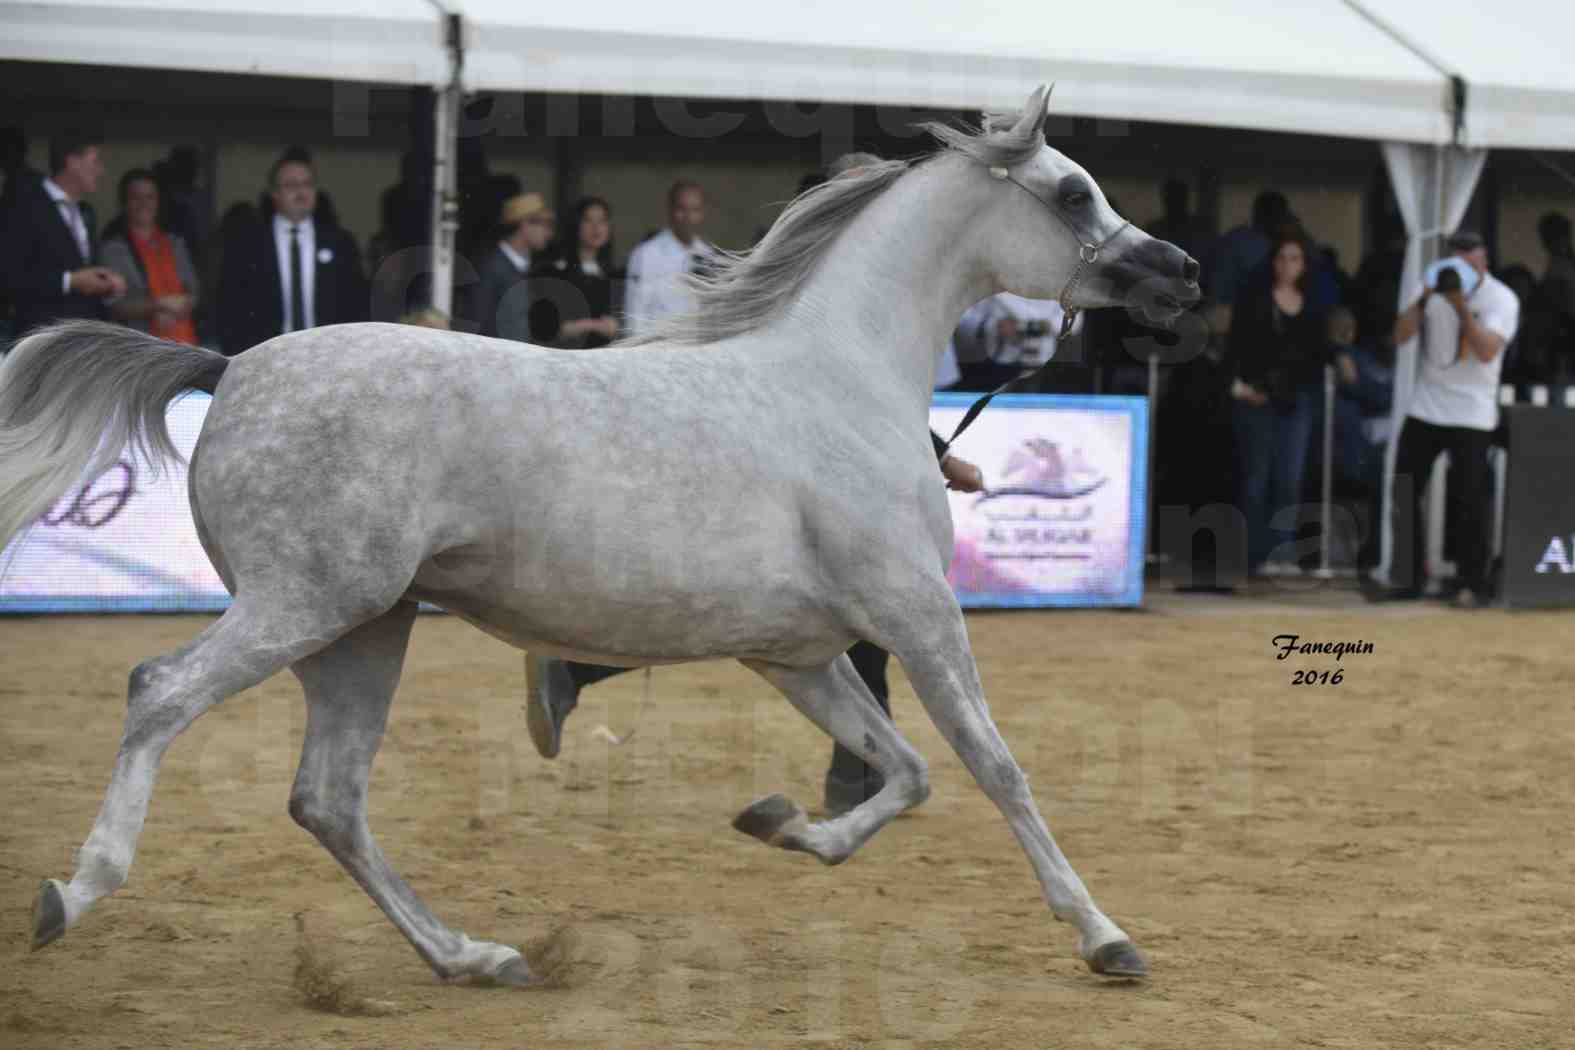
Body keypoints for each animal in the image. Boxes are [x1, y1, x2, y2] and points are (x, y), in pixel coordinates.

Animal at [3, 88, 1190, 988]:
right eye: (1073, 191)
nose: (1177, 274)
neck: (840, 384)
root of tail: (232, 365)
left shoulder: (797, 655)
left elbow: (903, 772)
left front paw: (783, 826)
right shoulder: (918, 614)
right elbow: (993, 768)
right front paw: (1106, 938)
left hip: (365, 628)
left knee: (327, 800)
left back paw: (474, 958)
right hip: (303, 605)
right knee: (161, 692)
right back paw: (73, 892)